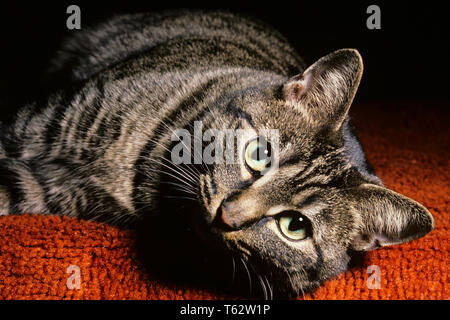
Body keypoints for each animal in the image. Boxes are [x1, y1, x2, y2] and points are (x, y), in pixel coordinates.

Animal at [0, 10, 436, 300]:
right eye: (260, 154)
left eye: (295, 226)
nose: (228, 215)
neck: (139, 168)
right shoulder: (48, 117)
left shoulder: (50, 192)